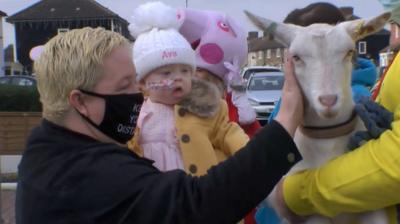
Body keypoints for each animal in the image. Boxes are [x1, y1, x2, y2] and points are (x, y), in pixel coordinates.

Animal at [245, 9, 392, 223]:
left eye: (349, 52)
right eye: (296, 57)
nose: (328, 100)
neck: (327, 142)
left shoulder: (374, 210)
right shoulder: (310, 215)